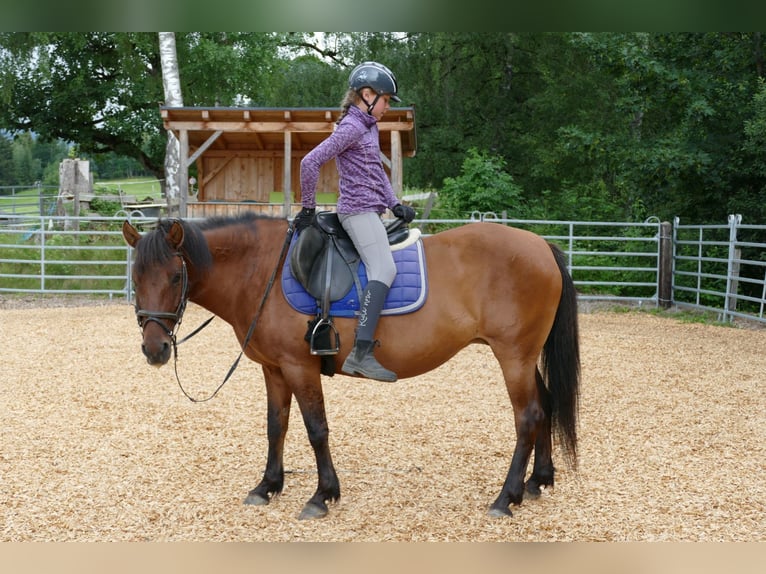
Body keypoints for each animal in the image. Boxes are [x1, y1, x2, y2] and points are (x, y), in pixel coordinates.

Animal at [122, 213, 580, 520]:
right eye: (137, 278)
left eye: (175, 277)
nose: (154, 349)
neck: (262, 269)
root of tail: (541, 245)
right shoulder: (273, 369)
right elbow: (276, 426)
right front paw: (268, 486)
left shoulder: (300, 367)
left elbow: (316, 429)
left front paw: (322, 495)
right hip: (524, 357)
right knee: (545, 406)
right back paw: (538, 481)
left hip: (513, 356)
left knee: (528, 416)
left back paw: (507, 497)